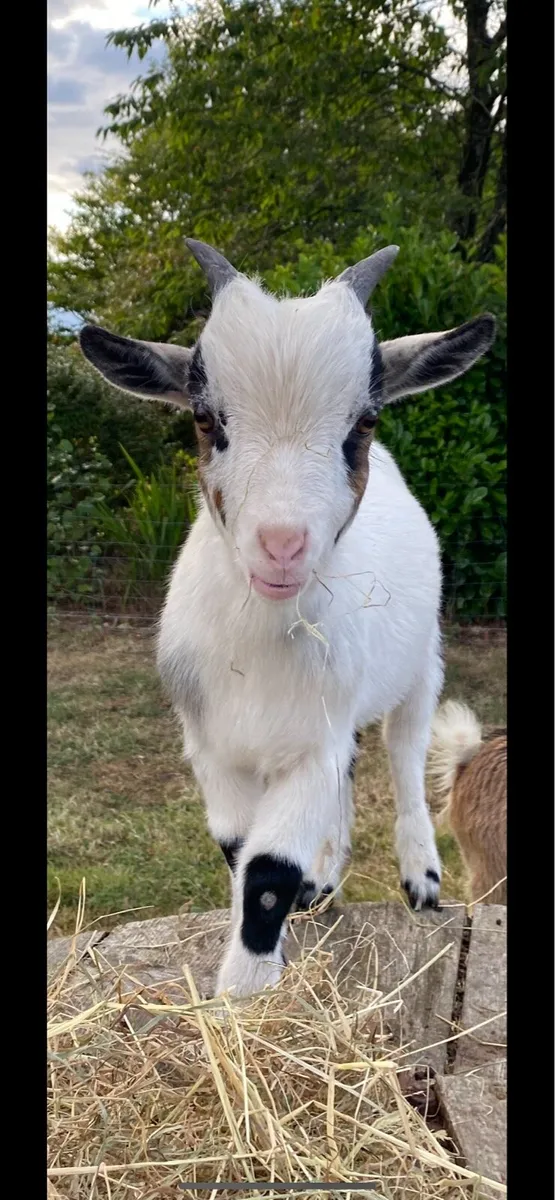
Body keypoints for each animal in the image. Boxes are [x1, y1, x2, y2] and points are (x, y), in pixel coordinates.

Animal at [80, 238, 495, 999]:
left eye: (363, 422)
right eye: (205, 418)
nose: (281, 544)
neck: (258, 647)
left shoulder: (310, 745)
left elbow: (267, 873)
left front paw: (242, 1002)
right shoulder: (211, 746)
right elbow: (239, 853)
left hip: (422, 660)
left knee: (403, 753)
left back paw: (419, 876)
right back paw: (326, 878)